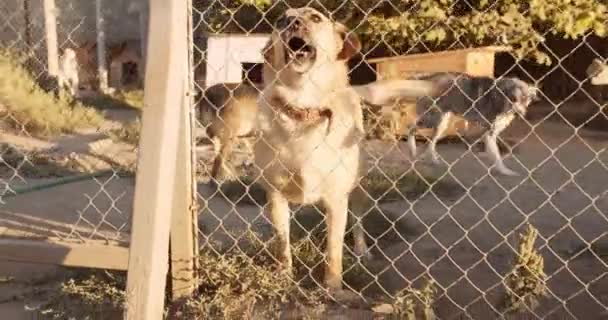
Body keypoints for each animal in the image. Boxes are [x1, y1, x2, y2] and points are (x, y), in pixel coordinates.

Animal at [406, 72, 540, 176]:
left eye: (526, 100)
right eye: (513, 98)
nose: (519, 114)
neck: (500, 99)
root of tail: (428, 78)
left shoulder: (490, 132)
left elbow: (490, 150)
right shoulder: (489, 131)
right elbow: (496, 156)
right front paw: (504, 170)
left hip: (441, 123)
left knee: (431, 142)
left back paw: (432, 159)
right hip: (432, 120)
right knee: (411, 128)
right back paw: (412, 149)